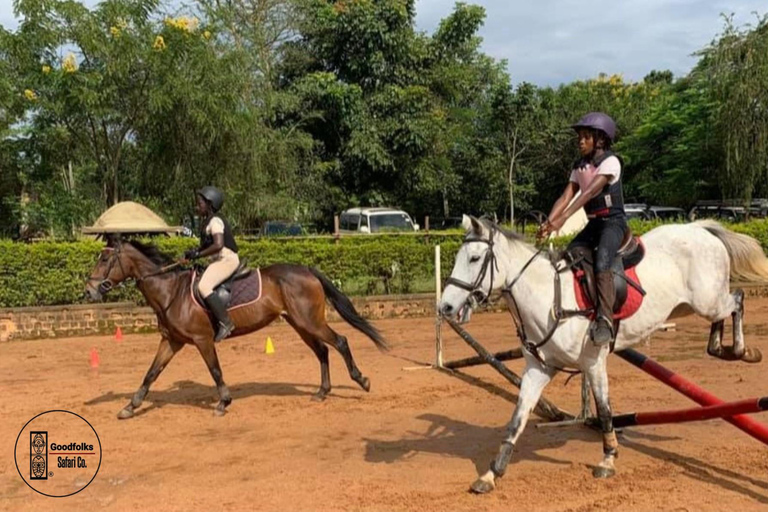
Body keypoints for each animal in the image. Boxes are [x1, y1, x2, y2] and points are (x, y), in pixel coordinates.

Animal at [84, 238, 388, 418]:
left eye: (104, 259)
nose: (89, 291)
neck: (171, 291)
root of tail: (307, 269)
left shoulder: (203, 339)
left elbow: (215, 370)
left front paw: (223, 402)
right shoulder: (171, 341)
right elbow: (151, 373)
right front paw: (130, 406)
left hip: (310, 321)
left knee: (340, 341)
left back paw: (362, 380)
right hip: (300, 324)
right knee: (322, 351)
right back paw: (322, 392)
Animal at [438, 215, 768, 492]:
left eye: (474, 258)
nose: (446, 307)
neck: (548, 297)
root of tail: (700, 229)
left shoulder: (593, 362)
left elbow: (606, 409)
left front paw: (608, 459)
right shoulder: (538, 370)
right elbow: (517, 420)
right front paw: (491, 474)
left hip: (707, 300)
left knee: (737, 300)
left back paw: (744, 351)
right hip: (691, 306)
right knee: (723, 316)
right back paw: (721, 348)